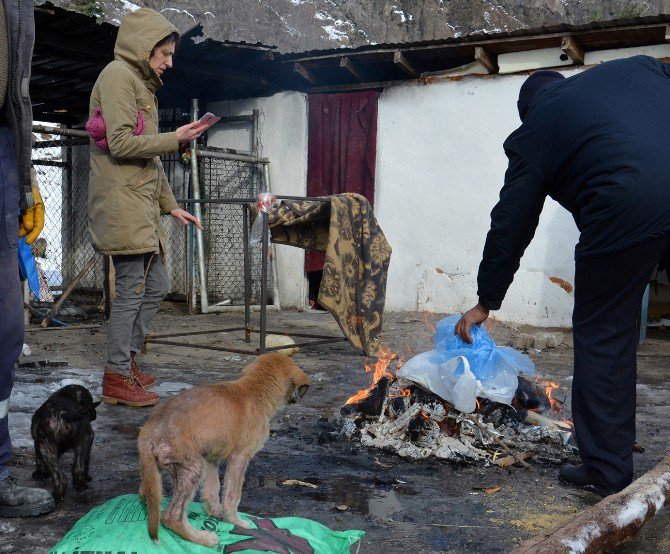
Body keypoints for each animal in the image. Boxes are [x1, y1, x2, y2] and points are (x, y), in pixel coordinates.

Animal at [140, 354, 312, 544]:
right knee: (171, 516)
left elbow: (212, 489)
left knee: (146, 494)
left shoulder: (211, 457)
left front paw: (214, 512)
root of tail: (151, 429)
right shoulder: (240, 457)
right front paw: (234, 520)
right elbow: (232, 494)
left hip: (164, 469)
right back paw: (201, 538)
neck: (254, 390)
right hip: (192, 467)